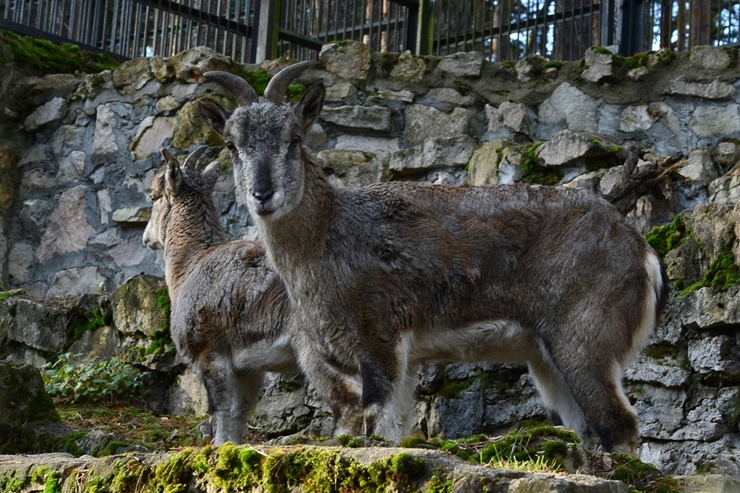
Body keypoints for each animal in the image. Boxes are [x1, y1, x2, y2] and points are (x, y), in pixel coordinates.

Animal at [142, 147, 298, 446]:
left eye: (154, 197)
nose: (146, 238)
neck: (190, 264)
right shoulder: (248, 368)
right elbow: (240, 412)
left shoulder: (210, 354)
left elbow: (222, 410)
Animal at [199, 65, 668, 454]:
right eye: (231, 144)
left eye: (294, 138)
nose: (262, 194)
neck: (330, 235)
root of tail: (642, 252)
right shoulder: (404, 360)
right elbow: (396, 429)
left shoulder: (380, 338)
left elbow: (378, 423)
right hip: (547, 358)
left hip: (584, 341)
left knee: (619, 426)